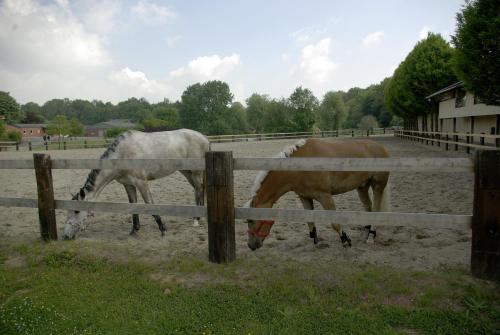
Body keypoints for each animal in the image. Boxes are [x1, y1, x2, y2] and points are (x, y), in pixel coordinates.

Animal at [63, 128, 209, 239]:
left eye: (76, 211)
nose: (66, 235)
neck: (122, 154)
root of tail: (204, 137)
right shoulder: (128, 185)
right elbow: (133, 206)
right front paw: (134, 230)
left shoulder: (141, 182)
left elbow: (150, 204)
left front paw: (162, 229)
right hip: (186, 172)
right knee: (199, 189)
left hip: (196, 172)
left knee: (199, 190)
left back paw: (196, 220)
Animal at [246, 138, 390, 251]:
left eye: (251, 220)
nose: (251, 245)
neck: (302, 165)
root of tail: (381, 148)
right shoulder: (304, 197)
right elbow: (310, 221)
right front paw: (314, 242)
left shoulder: (325, 196)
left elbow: (335, 223)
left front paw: (345, 240)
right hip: (362, 187)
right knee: (368, 207)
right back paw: (367, 230)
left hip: (377, 186)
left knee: (376, 210)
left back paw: (371, 236)